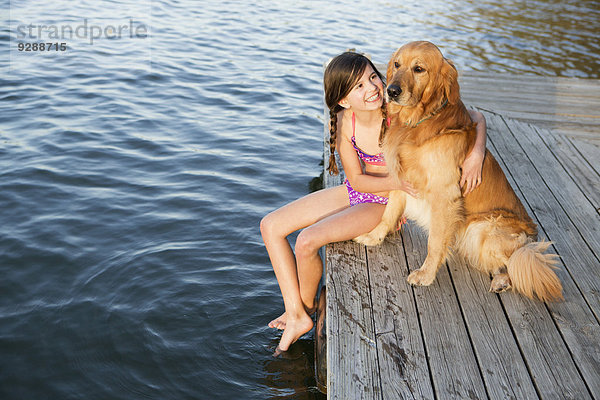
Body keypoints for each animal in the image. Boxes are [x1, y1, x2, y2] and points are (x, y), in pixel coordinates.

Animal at [354, 42, 560, 302]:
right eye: (397, 64)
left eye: (419, 69)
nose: (391, 91)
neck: (420, 121)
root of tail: (531, 237)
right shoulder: (401, 179)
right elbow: (388, 214)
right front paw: (374, 237)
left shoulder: (445, 194)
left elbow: (434, 242)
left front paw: (425, 274)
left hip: (484, 229)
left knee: (520, 262)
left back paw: (504, 280)